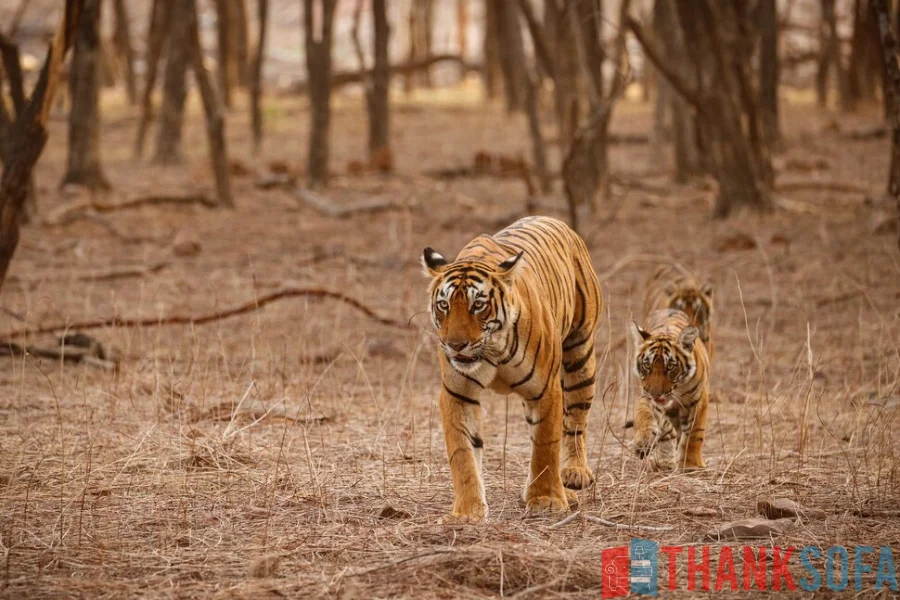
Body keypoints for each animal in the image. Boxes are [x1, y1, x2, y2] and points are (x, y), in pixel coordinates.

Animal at [424, 217, 604, 520]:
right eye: (444, 305)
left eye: (478, 305)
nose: (455, 345)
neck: (492, 350)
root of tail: (555, 220)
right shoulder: (457, 393)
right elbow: (463, 452)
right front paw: (467, 511)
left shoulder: (545, 389)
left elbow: (545, 445)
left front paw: (545, 499)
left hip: (580, 354)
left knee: (576, 421)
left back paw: (573, 474)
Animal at [628, 310, 708, 474]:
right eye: (647, 365)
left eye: (670, 366)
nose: (655, 393)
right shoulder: (648, 397)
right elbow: (646, 416)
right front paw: (644, 442)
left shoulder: (698, 400)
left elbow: (694, 433)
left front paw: (691, 465)